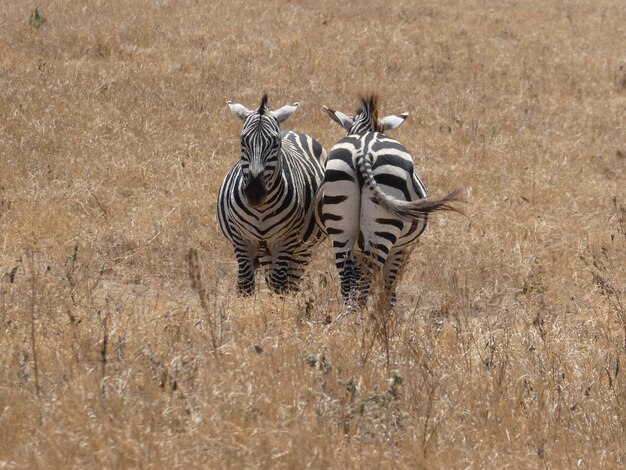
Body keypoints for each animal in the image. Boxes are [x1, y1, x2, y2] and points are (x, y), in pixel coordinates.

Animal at [217, 93, 326, 296]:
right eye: (243, 141)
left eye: (275, 143)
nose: (254, 193)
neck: (262, 209)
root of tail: (290, 131)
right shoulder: (241, 239)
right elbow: (245, 286)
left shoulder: (284, 240)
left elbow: (279, 286)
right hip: (266, 252)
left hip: (302, 249)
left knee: (291, 282)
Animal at [316, 96, 458, 308]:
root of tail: (363, 151)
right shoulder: (399, 250)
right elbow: (389, 286)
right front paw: (386, 312)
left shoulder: (357, 249)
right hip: (383, 229)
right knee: (365, 280)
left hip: (340, 226)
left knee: (347, 280)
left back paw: (349, 315)